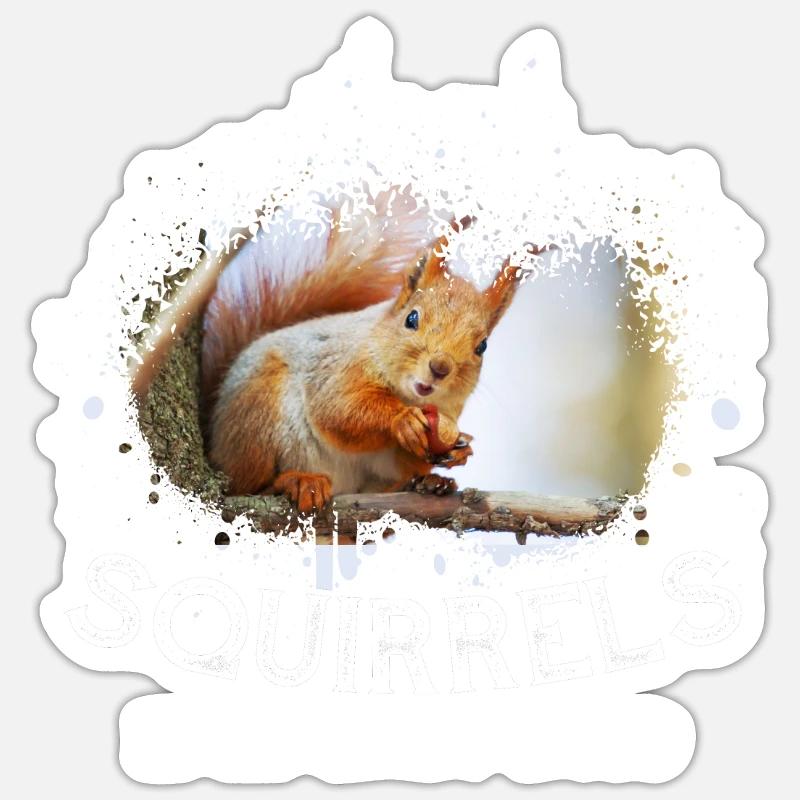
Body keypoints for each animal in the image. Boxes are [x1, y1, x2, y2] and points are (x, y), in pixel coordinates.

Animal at [202, 190, 521, 512]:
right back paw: (296, 481)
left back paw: (429, 483)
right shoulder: (338, 367)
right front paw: (402, 419)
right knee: (246, 485)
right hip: (258, 412)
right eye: (412, 318)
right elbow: (339, 410)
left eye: (482, 346)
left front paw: (460, 449)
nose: (440, 368)